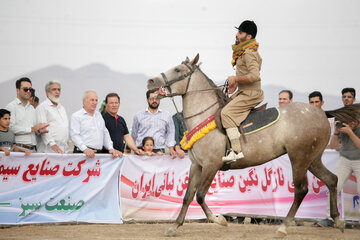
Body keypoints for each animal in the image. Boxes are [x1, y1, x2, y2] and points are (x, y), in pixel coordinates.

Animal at [146, 54, 352, 236]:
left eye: (178, 69)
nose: (151, 81)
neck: (205, 117)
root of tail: (321, 113)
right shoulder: (197, 166)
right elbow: (188, 196)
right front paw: (175, 226)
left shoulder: (211, 165)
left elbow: (200, 196)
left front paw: (219, 219)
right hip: (312, 159)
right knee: (332, 180)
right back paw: (338, 220)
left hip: (299, 158)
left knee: (301, 190)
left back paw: (283, 227)